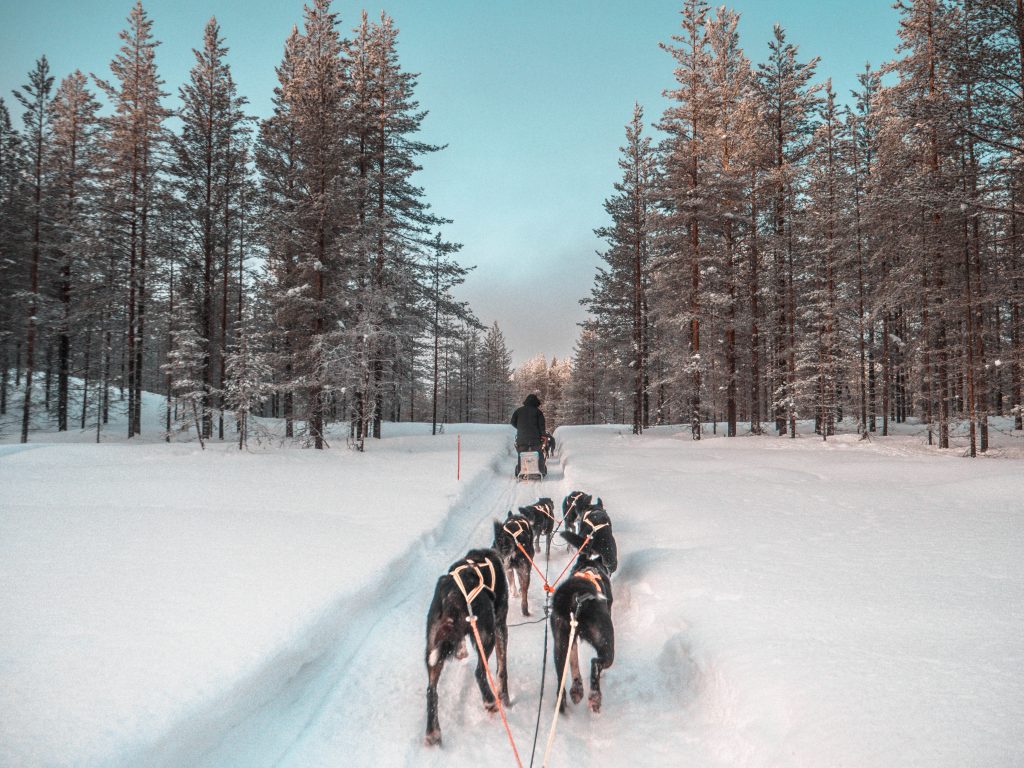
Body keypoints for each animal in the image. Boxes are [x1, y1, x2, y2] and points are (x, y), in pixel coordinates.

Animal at [421, 548, 509, 749]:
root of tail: (452, 594)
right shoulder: (500, 625)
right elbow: (502, 668)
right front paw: (504, 696)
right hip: (487, 635)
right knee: (479, 672)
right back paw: (490, 701)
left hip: (432, 647)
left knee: (431, 691)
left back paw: (433, 733)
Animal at [552, 561, 614, 716]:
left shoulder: (571, 641)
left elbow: (574, 661)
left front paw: (577, 688)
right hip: (605, 640)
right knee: (596, 663)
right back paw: (595, 698)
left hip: (560, 643)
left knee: (561, 677)